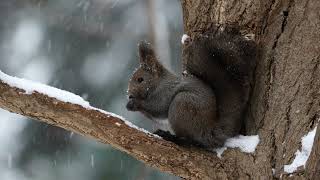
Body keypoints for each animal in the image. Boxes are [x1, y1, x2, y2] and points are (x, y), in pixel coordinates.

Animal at [126, 27, 256, 149]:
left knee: (188, 139)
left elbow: (158, 108)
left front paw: (134, 103)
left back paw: (171, 137)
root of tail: (208, 132)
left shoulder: (166, 92)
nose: (129, 93)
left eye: (140, 79)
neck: (158, 83)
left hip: (182, 105)